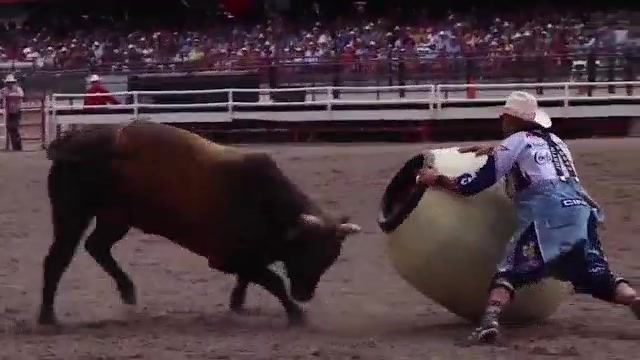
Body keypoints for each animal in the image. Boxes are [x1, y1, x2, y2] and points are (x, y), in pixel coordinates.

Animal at [38, 121, 360, 326]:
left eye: (330, 257)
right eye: (307, 251)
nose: (305, 294)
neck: (267, 202)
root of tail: (71, 141)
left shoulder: (248, 256)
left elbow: (250, 278)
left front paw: (238, 303)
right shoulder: (229, 257)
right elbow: (272, 280)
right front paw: (296, 315)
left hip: (116, 216)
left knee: (97, 246)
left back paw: (127, 290)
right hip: (72, 213)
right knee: (58, 258)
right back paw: (48, 316)